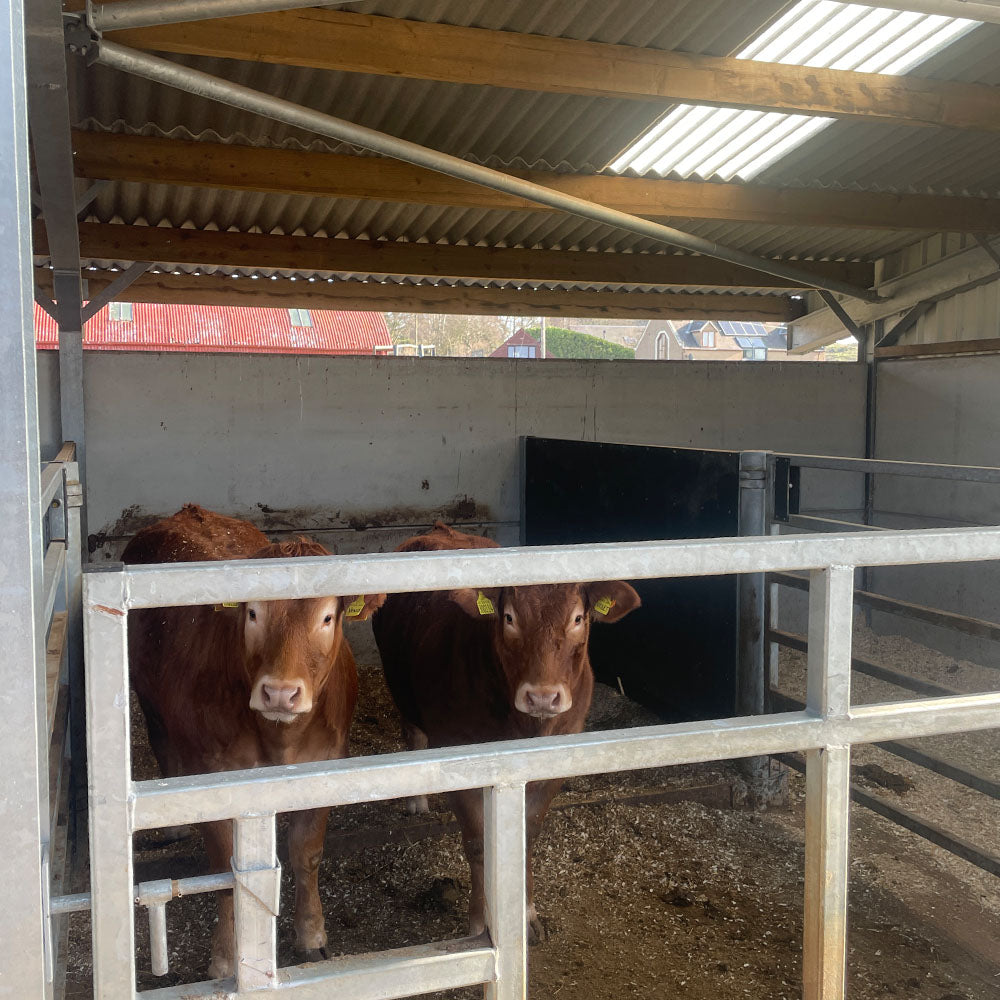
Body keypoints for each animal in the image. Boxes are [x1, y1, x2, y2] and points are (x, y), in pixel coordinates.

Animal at [122, 504, 385, 978]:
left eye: (327, 617)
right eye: (252, 614)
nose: (280, 692)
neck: (280, 738)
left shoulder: (326, 765)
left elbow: (306, 854)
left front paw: (312, 935)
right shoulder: (212, 774)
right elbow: (226, 873)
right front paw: (227, 957)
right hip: (149, 700)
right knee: (162, 744)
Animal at [372, 522, 640, 942]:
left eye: (578, 618)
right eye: (510, 618)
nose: (543, 696)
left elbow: (526, 836)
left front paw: (526, 914)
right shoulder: (458, 753)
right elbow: (478, 843)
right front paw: (481, 921)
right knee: (412, 731)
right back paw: (417, 799)